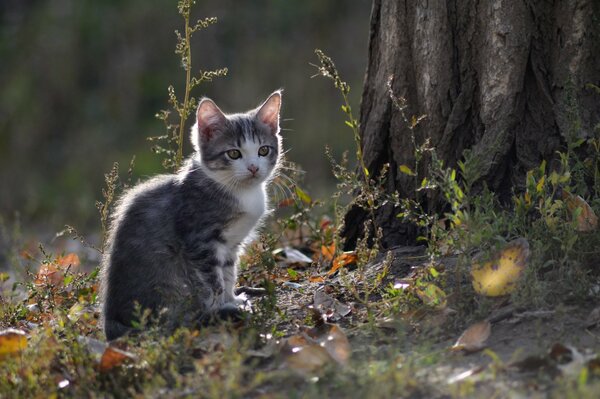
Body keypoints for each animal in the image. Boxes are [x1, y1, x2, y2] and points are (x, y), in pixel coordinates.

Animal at [99, 90, 282, 340]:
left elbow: (228, 273)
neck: (239, 191)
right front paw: (219, 308)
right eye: (234, 154)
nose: (253, 168)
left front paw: (231, 299)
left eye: (263, 150)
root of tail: (111, 323)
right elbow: (213, 281)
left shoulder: (230, 245)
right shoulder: (200, 242)